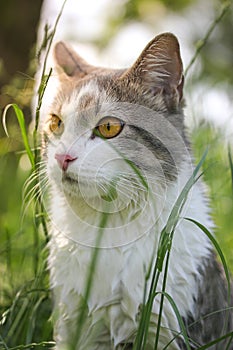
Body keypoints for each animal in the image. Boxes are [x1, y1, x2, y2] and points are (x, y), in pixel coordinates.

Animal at [40, 32, 233, 348]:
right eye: (56, 123)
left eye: (108, 127)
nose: (62, 157)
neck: (109, 226)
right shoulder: (72, 324)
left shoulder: (168, 324)